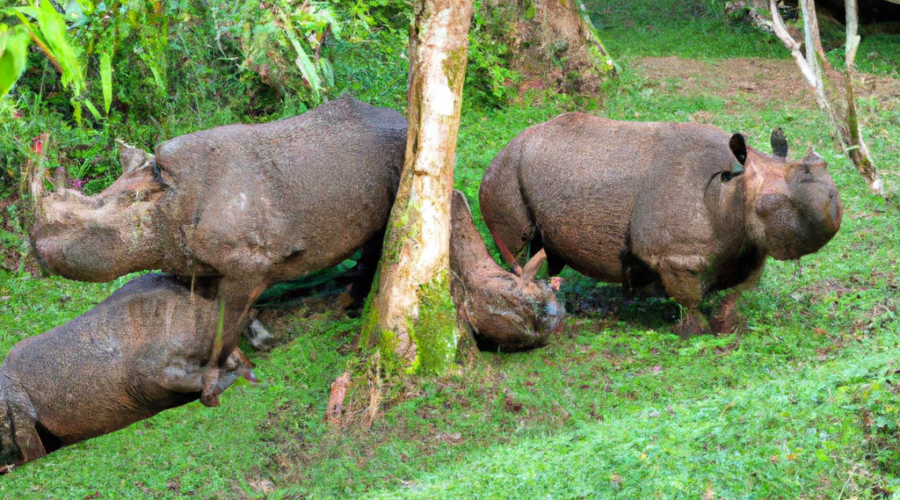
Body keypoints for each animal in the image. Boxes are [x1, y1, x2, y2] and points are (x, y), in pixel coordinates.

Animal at [29, 96, 408, 402]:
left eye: (87, 228)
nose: (34, 244)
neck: (168, 201)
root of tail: (403, 117)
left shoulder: (250, 264)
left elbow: (227, 318)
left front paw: (220, 371)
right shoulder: (192, 261)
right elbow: (210, 315)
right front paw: (256, 341)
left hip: (398, 150)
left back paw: (351, 305)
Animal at [482, 115, 840, 336]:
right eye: (773, 203)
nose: (834, 211)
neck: (733, 188)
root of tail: (507, 144)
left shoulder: (751, 245)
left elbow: (740, 289)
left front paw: (728, 325)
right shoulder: (675, 255)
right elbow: (689, 298)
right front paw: (693, 333)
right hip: (504, 170)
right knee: (515, 246)